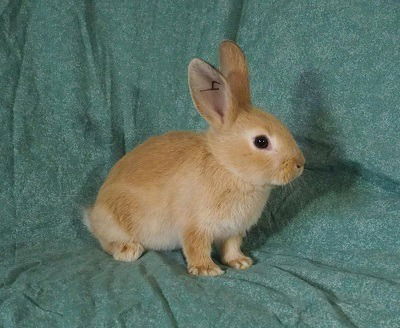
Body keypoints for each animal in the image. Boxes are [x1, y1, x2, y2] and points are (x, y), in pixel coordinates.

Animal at [86, 41, 304, 276]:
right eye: (261, 141)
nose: (300, 164)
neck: (227, 165)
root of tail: (93, 214)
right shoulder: (195, 226)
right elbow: (196, 247)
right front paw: (207, 270)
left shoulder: (233, 231)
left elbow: (231, 247)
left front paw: (240, 262)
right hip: (115, 220)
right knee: (107, 242)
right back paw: (128, 250)